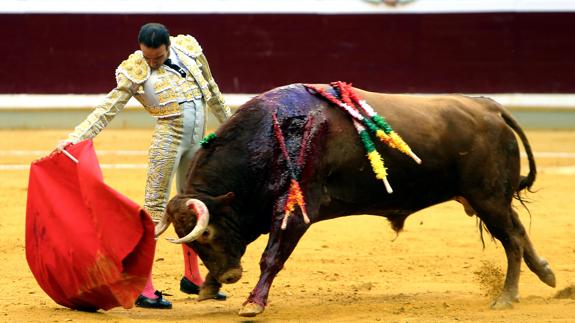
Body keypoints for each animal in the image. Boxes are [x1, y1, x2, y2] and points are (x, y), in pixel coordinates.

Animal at [155, 84, 556, 318]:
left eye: (206, 235)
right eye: (193, 241)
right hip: (490, 199)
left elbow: (272, 256)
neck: (272, 135)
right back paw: (547, 274)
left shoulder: (295, 211)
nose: (228, 276)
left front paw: (253, 303)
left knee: (512, 240)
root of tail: (490, 108)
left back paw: (507, 297)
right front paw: (209, 287)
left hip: (488, 198)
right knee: (519, 231)